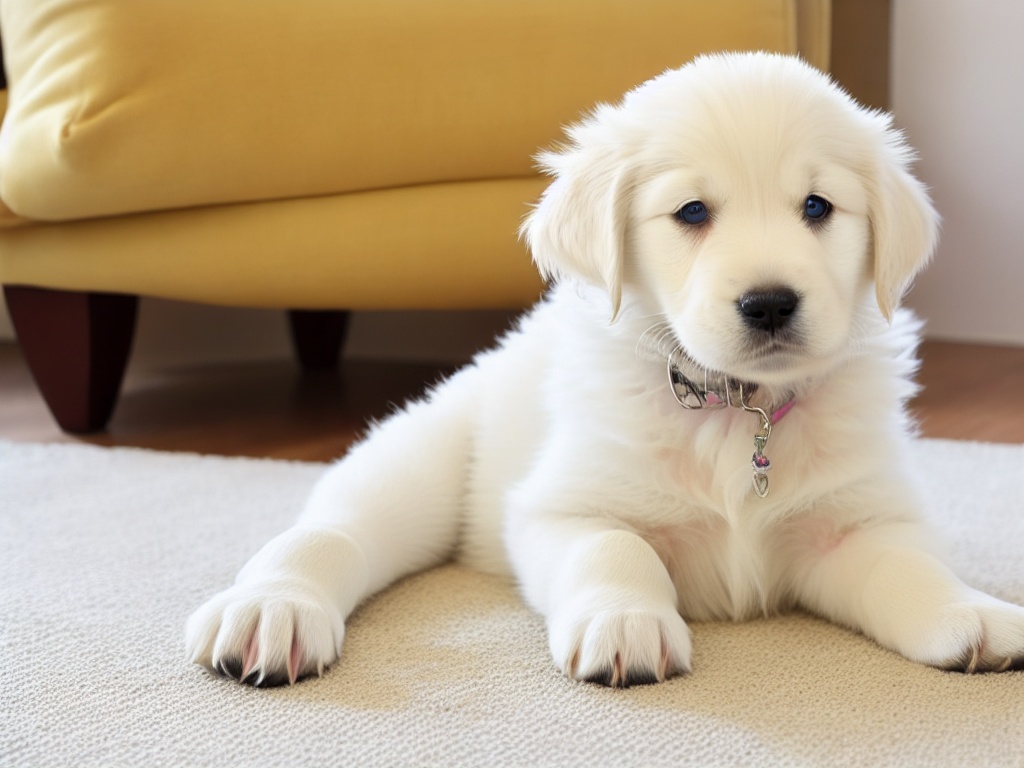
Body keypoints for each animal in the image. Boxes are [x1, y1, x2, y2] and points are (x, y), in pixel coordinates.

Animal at [186, 55, 1024, 692]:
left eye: (818, 206)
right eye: (691, 212)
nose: (770, 304)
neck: (735, 408)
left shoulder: (849, 524)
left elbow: (908, 569)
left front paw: (970, 614)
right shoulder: (563, 507)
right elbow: (617, 549)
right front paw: (628, 623)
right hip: (419, 457)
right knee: (332, 529)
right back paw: (272, 609)